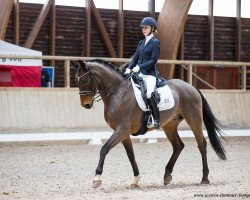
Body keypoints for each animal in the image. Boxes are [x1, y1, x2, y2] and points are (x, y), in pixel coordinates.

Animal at [73, 58, 227, 188]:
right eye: (76, 80)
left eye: (85, 80)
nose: (86, 104)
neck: (118, 93)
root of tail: (191, 87)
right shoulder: (124, 132)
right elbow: (131, 155)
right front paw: (135, 180)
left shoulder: (121, 130)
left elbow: (104, 149)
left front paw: (97, 179)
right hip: (169, 125)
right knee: (178, 146)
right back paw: (167, 176)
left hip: (194, 120)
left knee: (202, 144)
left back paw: (204, 178)